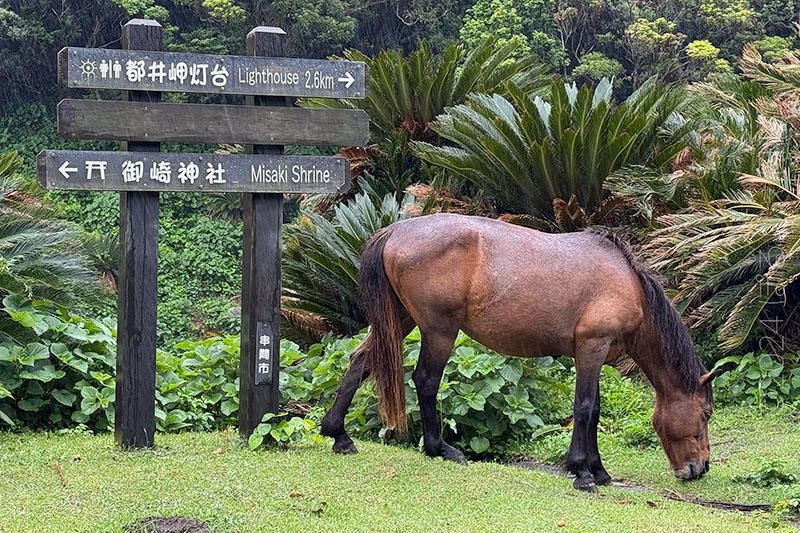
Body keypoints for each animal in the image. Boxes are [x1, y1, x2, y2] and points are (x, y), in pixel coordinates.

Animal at [318, 212, 720, 490]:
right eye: (706, 414)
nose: (700, 468)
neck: (627, 282)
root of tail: (395, 231)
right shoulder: (592, 346)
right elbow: (584, 408)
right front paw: (582, 471)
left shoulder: (594, 353)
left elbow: (593, 411)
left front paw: (598, 470)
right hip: (439, 331)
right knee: (426, 380)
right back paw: (440, 448)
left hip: (399, 321)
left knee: (359, 363)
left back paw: (338, 434)